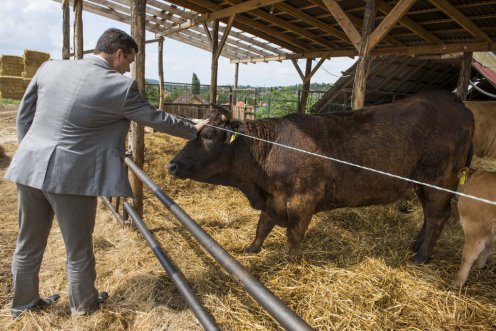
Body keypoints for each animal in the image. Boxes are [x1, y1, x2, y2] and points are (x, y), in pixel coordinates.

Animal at [170, 92, 472, 264]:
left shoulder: (303, 200)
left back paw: (421, 257)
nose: (172, 165)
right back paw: (416, 246)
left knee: (437, 216)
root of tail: (452, 101)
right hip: (421, 183)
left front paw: (289, 264)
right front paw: (251, 249)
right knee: (429, 216)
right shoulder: (273, 197)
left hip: (439, 179)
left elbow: (293, 236)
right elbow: (262, 226)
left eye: (210, 136)